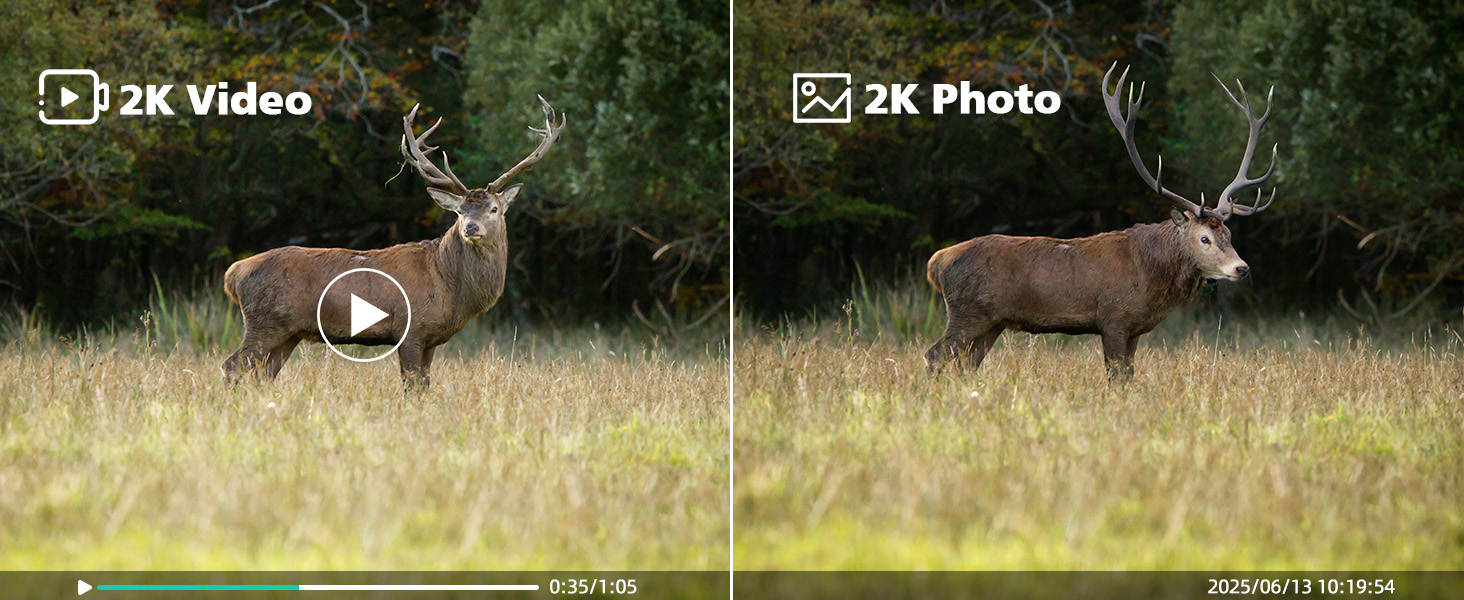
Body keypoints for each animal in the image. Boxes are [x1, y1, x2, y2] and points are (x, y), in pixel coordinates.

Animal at [221, 96, 565, 391]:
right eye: (459, 211)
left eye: (493, 208)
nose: (471, 227)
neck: (448, 284)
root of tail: (234, 273)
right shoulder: (409, 329)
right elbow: (412, 387)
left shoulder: (430, 339)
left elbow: (424, 386)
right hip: (266, 322)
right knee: (231, 366)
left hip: (287, 331)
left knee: (263, 374)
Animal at [924, 63, 1277, 381]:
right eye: (1204, 238)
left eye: (1228, 234)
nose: (1241, 268)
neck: (1149, 276)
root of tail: (936, 263)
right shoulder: (1114, 318)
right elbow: (1116, 376)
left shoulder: (1135, 328)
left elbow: (1129, 375)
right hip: (968, 313)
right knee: (934, 355)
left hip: (991, 322)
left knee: (966, 365)